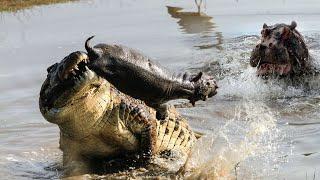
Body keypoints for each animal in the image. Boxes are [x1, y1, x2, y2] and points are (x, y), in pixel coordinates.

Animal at [86, 36, 219, 119]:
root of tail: (97, 52)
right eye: (209, 82)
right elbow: (163, 107)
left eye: (211, 78)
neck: (183, 83)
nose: (217, 85)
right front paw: (163, 117)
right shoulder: (156, 101)